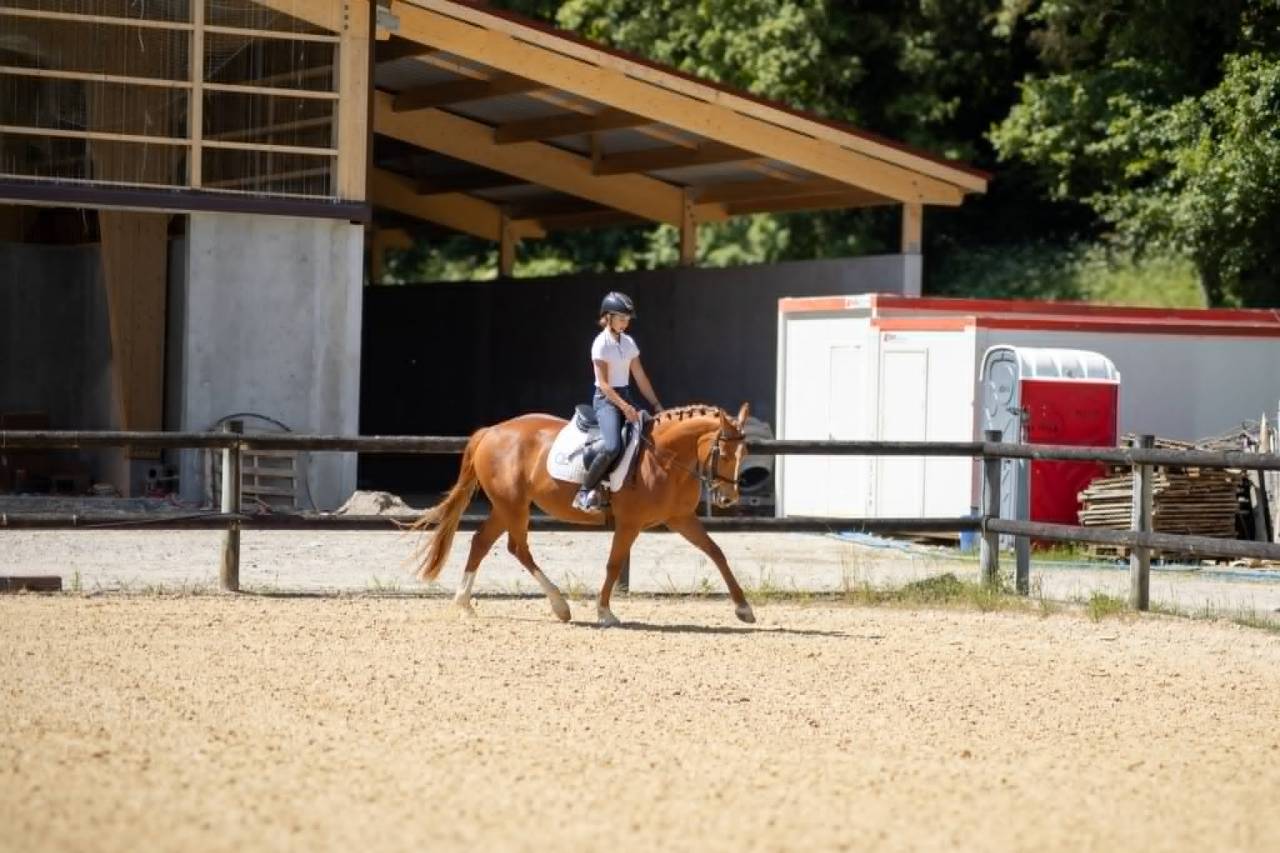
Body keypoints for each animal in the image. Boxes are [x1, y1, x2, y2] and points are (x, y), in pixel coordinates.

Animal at [409, 403, 755, 626]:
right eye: (724, 453)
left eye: (746, 452)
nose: (728, 498)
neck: (664, 457)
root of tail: (492, 431)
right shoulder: (630, 523)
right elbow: (614, 564)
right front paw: (605, 612)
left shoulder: (681, 519)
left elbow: (717, 553)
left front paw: (744, 608)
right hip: (513, 505)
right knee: (517, 547)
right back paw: (560, 607)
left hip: (506, 506)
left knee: (484, 542)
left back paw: (465, 604)